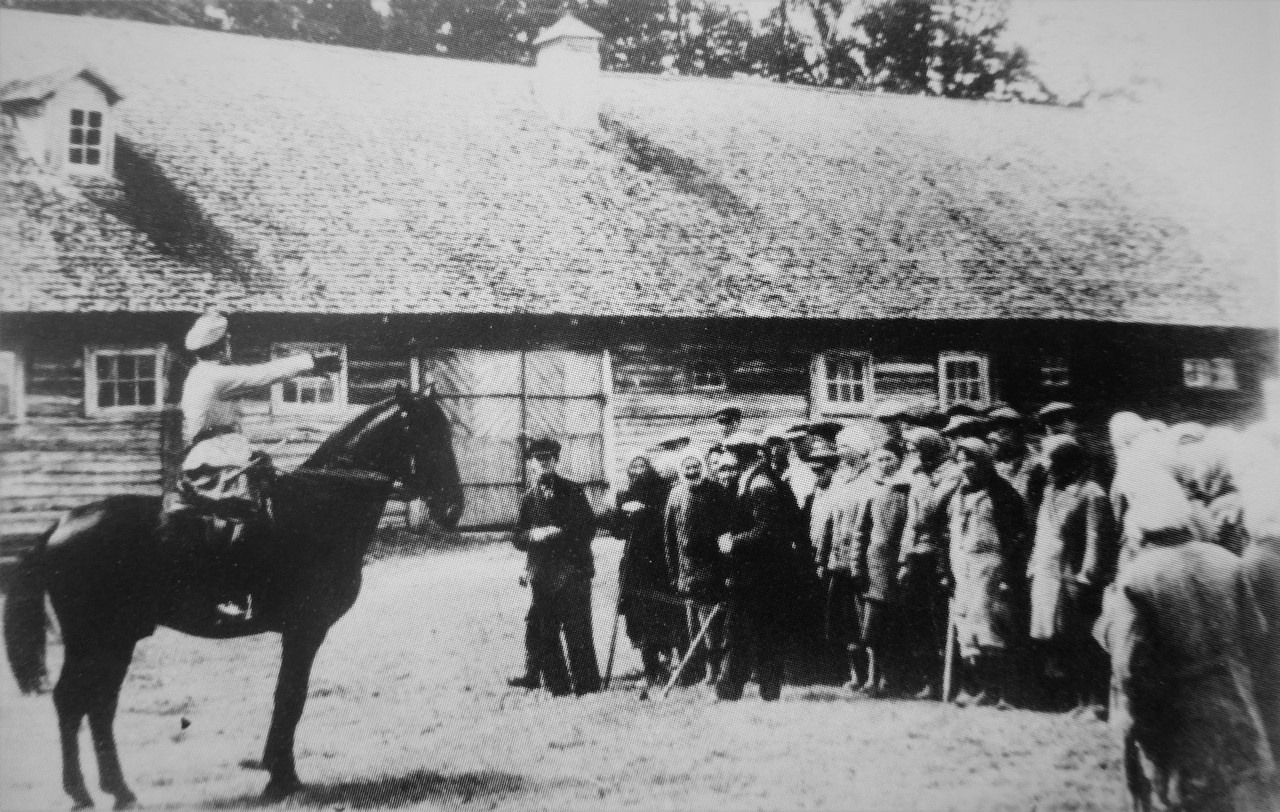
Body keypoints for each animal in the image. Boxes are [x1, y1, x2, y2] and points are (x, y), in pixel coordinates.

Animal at [3, 386, 465, 804]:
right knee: (71, 702)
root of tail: (60, 525)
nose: (453, 508)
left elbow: (288, 696)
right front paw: (281, 778)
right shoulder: (305, 630)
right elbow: (291, 696)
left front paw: (278, 772)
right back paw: (82, 792)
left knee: (99, 705)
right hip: (92, 640)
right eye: (427, 434)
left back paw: (118, 790)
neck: (317, 509)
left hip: (117, 640)